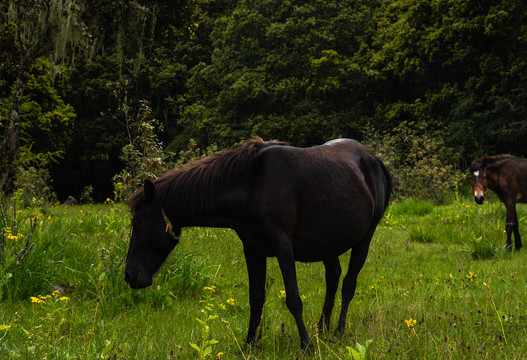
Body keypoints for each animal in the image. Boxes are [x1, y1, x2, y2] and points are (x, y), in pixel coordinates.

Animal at [124, 138, 392, 348]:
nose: (129, 275)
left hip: (365, 238)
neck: (251, 184)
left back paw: (337, 332)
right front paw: (250, 343)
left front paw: (306, 344)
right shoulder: (252, 249)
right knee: (333, 278)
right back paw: (321, 328)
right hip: (328, 243)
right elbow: (256, 297)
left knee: (348, 284)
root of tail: (372, 159)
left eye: (137, 222)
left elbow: (293, 299)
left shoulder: (284, 248)